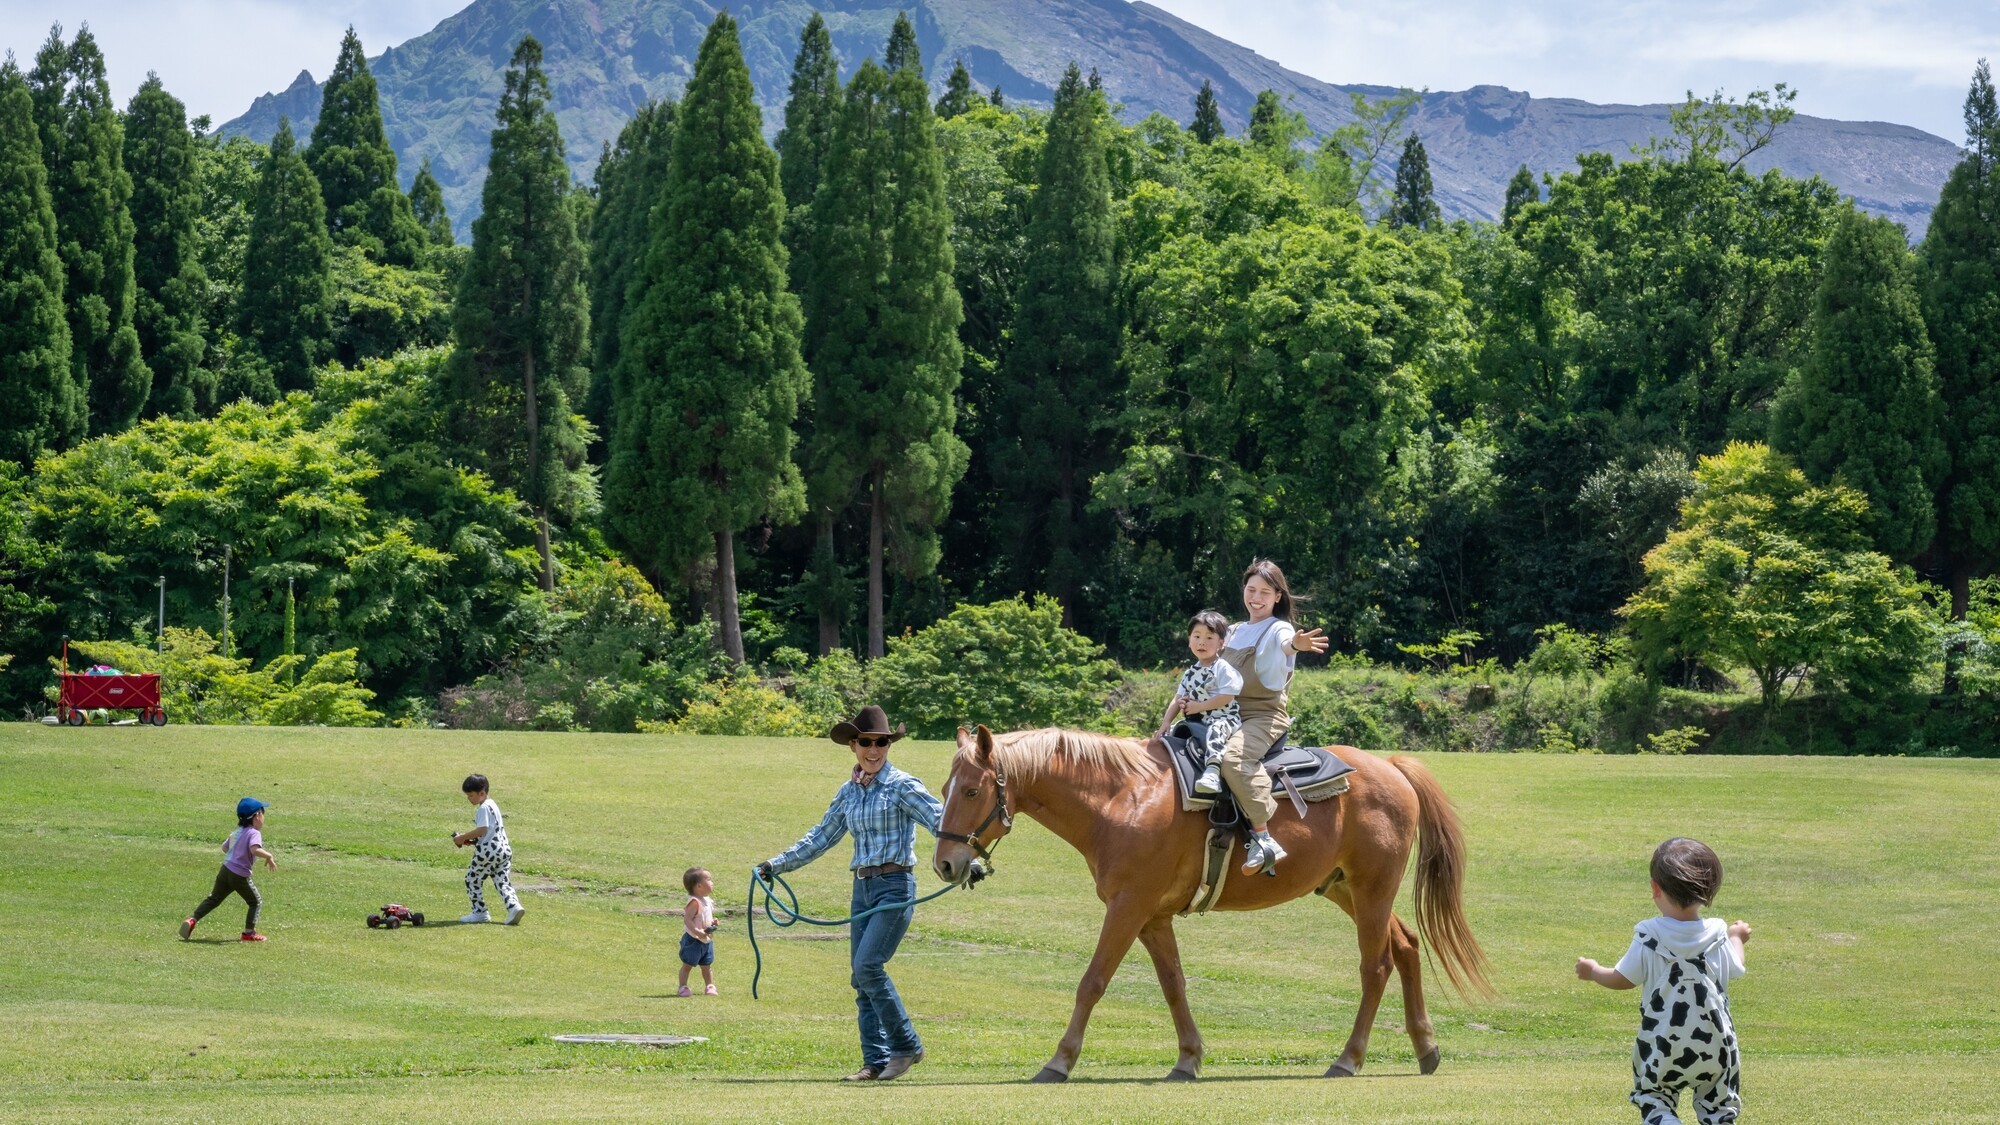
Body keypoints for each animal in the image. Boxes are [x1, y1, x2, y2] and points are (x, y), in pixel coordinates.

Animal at [932, 720, 1488, 1080]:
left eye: (971, 791)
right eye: (945, 787)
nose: (945, 864)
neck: (1122, 799)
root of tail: (1390, 766)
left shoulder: (1127, 907)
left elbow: (1091, 983)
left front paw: (1060, 1060)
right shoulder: (1152, 917)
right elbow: (1174, 986)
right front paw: (1187, 1058)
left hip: (1372, 891)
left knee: (1376, 968)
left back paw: (1348, 1059)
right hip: (1346, 889)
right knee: (1407, 947)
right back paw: (1426, 1047)